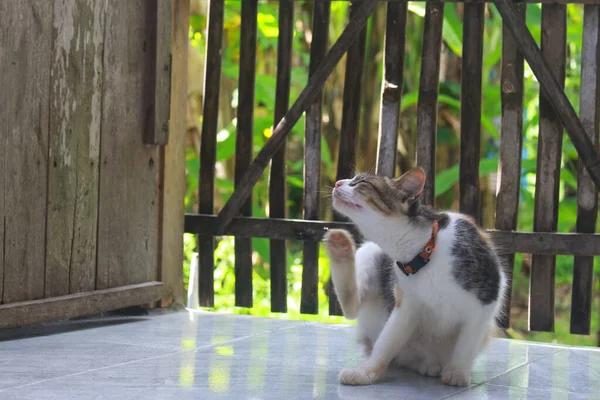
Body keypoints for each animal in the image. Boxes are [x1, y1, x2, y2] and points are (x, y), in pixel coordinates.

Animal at [324, 166, 506, 388]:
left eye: (361, 182)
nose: (338, 182)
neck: (426, 250)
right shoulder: (407, 304)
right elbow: (386, 341)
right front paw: (367, 372)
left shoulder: (486, 297)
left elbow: (467, 342)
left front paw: (458, 372)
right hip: (371, 253)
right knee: (352, 310)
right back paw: (340, 249)